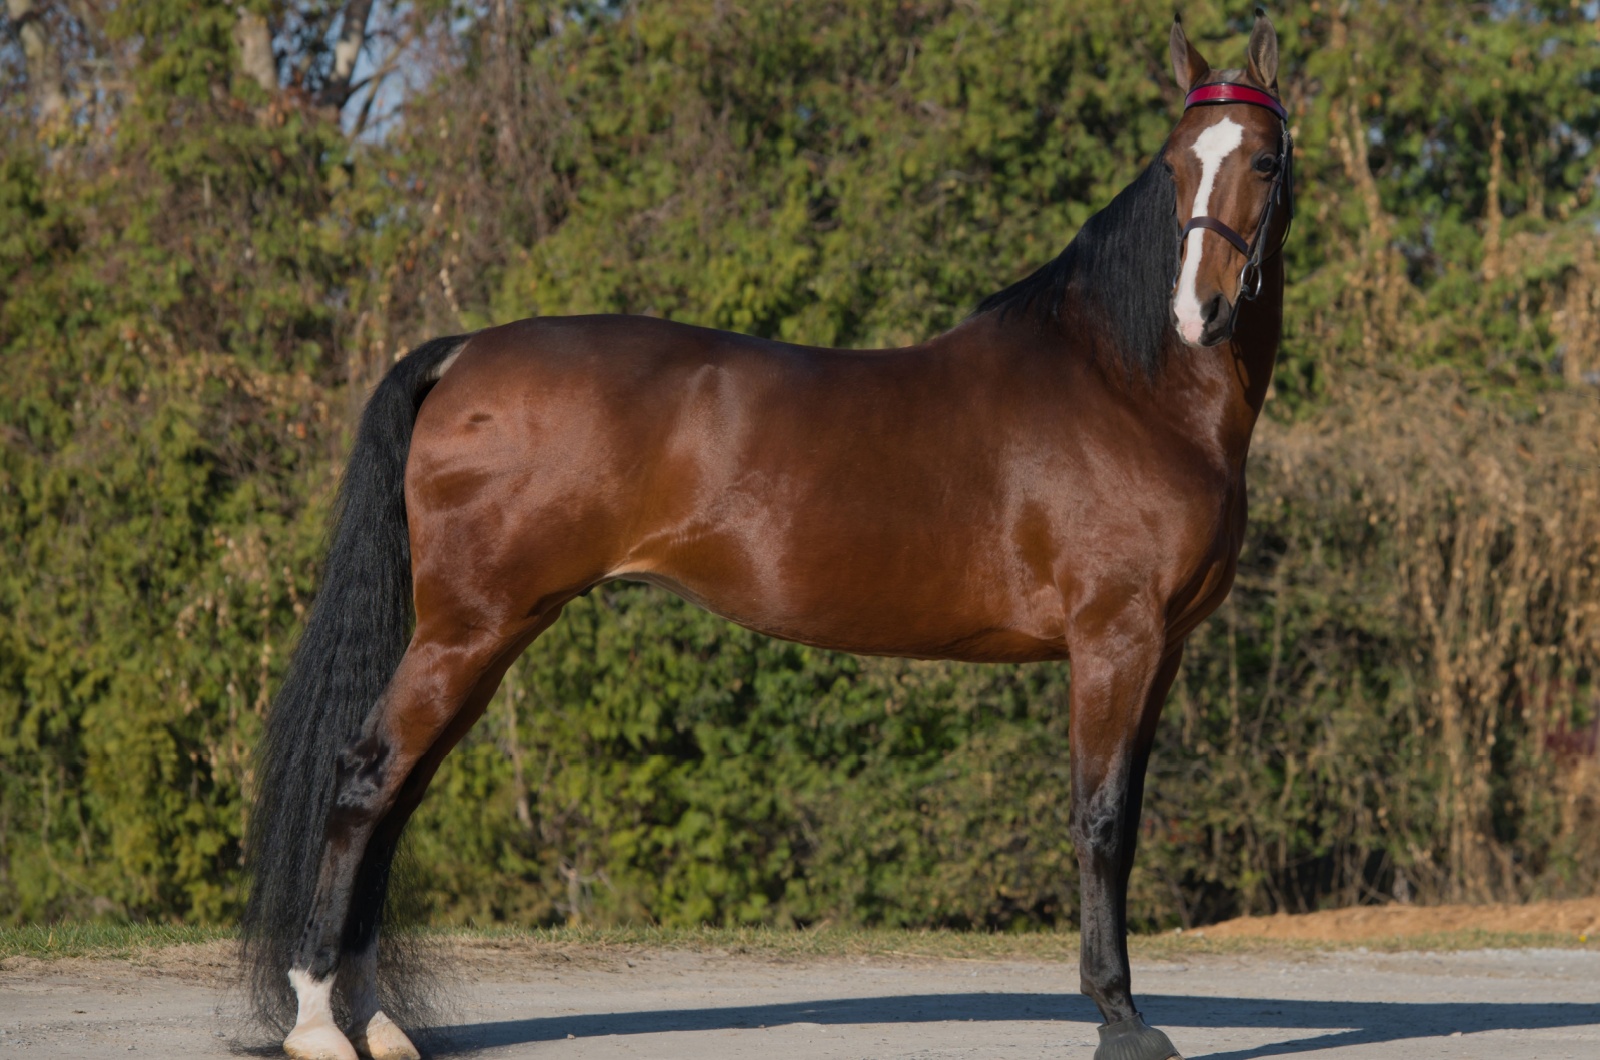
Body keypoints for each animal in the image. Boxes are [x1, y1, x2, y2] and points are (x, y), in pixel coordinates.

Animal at [249, 10, 1292, 1060]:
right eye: (1173, 164)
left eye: (1264, 159)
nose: (1198, 311)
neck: (1126, 385)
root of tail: (464, 353)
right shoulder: (1114, 639)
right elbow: (1102, 822)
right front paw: (1121, 1019)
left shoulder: (1160, 649)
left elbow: (1126, 818)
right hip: (466, 632)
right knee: (366, 780)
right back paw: (318, 1021)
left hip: (490, 635)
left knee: (401, 795)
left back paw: (376, 1022)